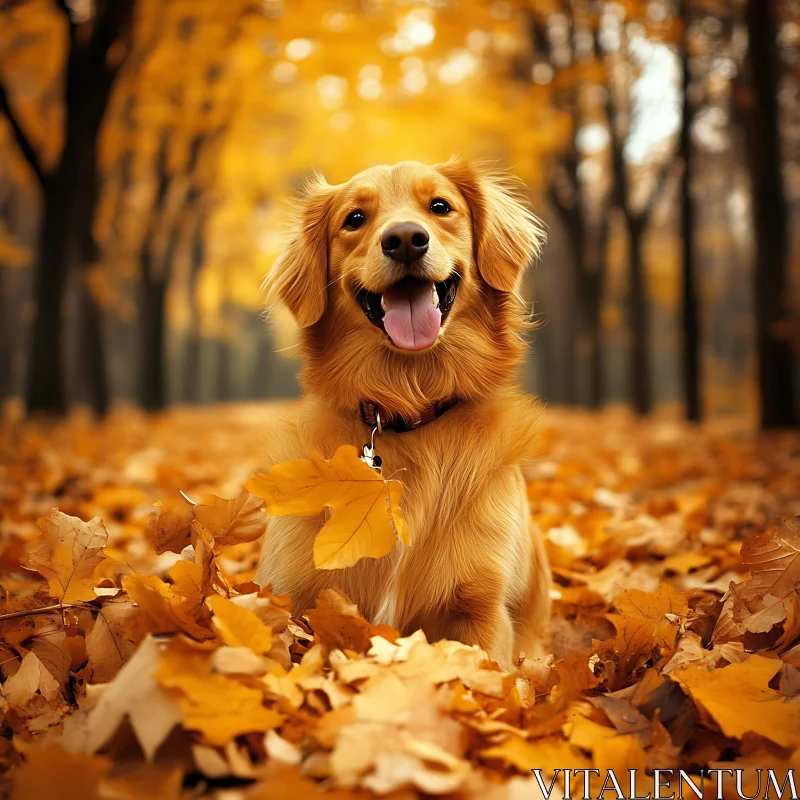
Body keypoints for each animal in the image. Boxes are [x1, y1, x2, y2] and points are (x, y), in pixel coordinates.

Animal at [256, 158, 552, 668]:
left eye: (440, 206)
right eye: (355, 219)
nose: (406, 239)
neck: (406, 411)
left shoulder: (481, 609)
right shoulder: (290, 595)